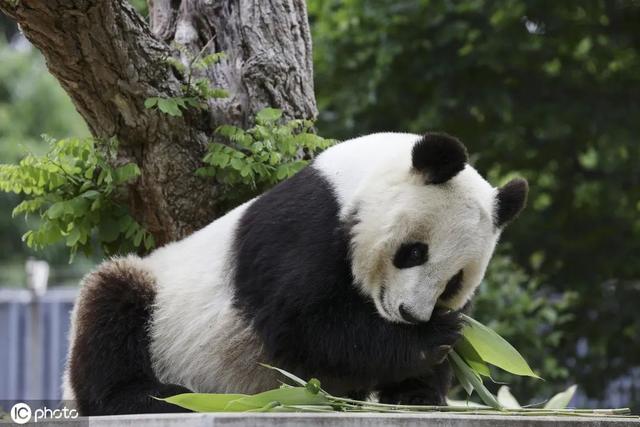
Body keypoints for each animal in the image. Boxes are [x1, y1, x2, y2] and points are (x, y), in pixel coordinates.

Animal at [62, 133, 528, 414]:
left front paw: (418, 391)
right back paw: (154, 396)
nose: (411, 314)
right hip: (155, 299)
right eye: (413, 253)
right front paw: (430, 338)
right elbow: (303, 327)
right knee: (111, 309)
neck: (357, 176)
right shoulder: (302, 228)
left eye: (453, 282)